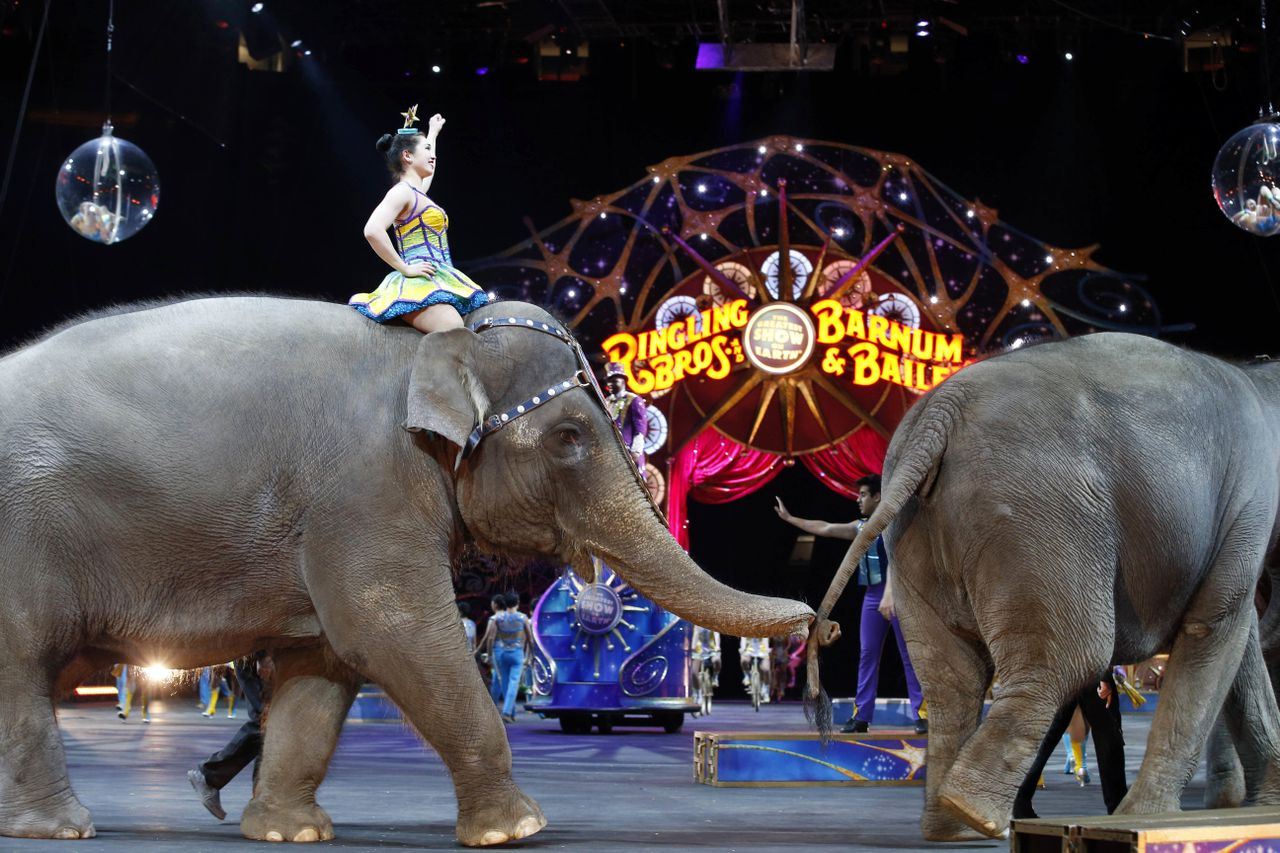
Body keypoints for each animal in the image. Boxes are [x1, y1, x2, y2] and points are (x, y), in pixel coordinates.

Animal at [0, 295, 814, 840]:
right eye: (571, 438)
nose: (816, 618)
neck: (428, 351)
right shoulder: (366, 492)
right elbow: (393, 633)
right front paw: (518, 829)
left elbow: (322, 665)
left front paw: (293, 831)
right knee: (22, 668)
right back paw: (59, 826)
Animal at [808, 330, 1280, 835]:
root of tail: (940, 414)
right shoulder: (1248, 506)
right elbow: (1214, 628)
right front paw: (1150, 816)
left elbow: (1237, 644)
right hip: (1038, 518)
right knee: (1072, 656)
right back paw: (975, 811)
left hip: (920, 532)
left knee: (952, 679)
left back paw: (948, 825)